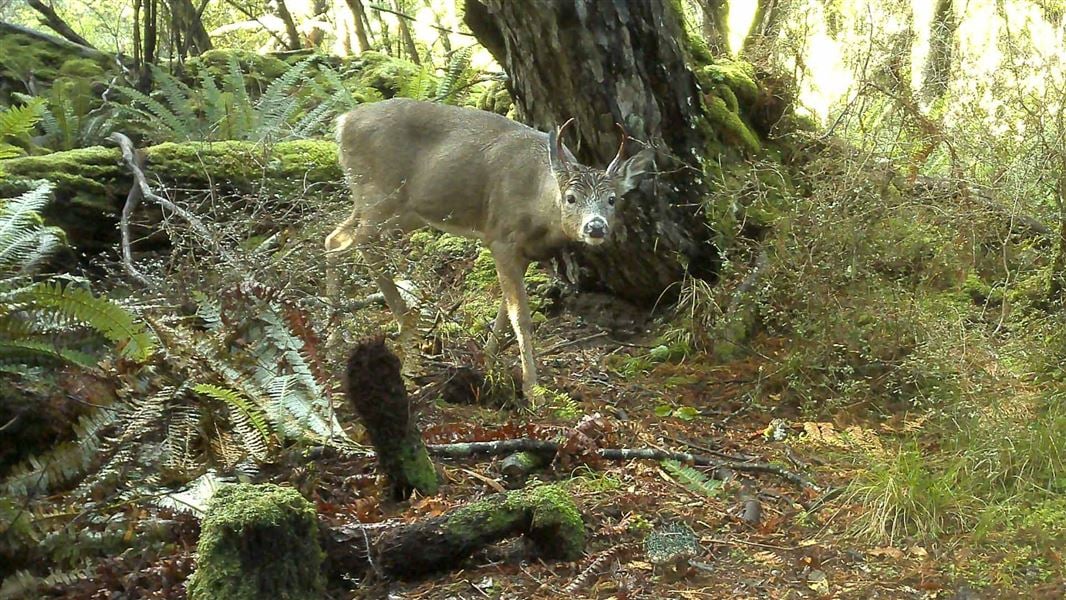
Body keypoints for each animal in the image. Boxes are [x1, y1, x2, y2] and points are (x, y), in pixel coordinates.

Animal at [324, 98, 653, 398]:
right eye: (570, 198)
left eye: (612, 199)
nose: (595, 227)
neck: (539, 200)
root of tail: (343, 123)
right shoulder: (501, 238)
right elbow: (521, 317)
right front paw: (532, 389)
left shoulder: (523, 252)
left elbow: (505, 312)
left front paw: (489, 363)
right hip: (378, 196)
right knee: (357, 243)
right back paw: (398, 347)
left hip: (400, 213)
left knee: (335, 240)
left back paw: (340, 333)